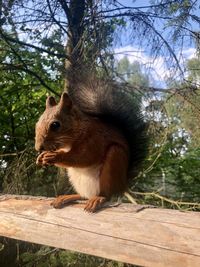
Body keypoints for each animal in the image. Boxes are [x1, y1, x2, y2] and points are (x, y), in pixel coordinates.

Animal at [34, 78, 148, 213]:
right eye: (37, 123)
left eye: (55, 125)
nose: (38, 148)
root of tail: (122, 184)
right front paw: (41, 157)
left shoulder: (94, 140)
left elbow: (83, 157)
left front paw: (53, 156)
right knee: (84, 195)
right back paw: (66, 197)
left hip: (114, 160)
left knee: (105, 194)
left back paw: (98, 199)